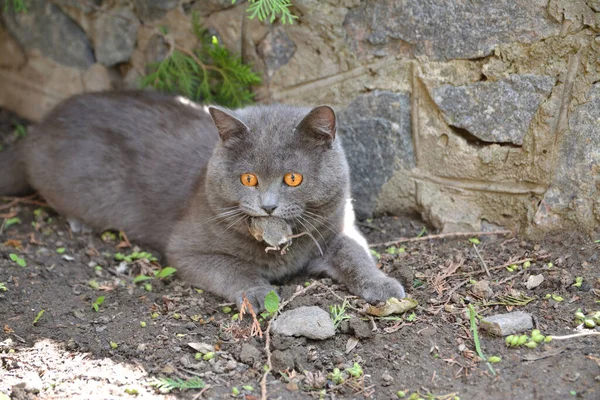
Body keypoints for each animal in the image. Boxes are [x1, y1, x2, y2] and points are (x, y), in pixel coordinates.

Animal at [0, 90, 406, 310]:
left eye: (293, 179)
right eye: (248, 179)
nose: (268, 206)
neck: (278, 244)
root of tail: (37, 130)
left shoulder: (337, 226)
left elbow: (355, 253)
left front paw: (383, 286)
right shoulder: (187, 249)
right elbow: (232, 268)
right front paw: (259, 292)